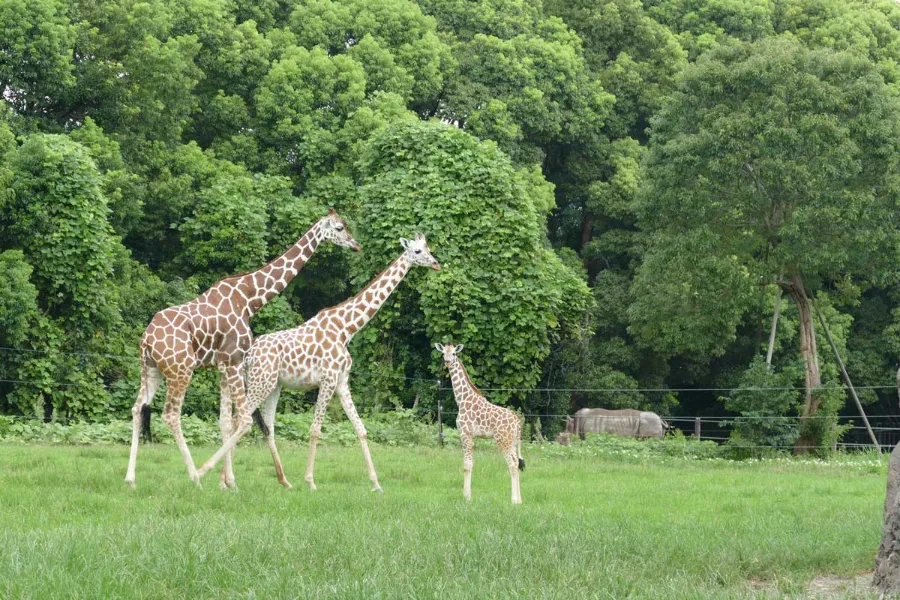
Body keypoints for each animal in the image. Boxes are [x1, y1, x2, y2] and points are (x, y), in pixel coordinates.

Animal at [124, 210, 362, 488]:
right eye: (340, 228)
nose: (356, 245)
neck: (250, 298)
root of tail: (146, 339)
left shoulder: (223, 365)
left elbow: (226, 421)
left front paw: (229, 483)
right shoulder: (235, 360)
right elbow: (244, 419)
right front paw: (227, 482)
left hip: (151, 370)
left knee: (137, 409)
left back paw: (130, 479)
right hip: (181, 370)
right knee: (171, 415)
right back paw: (195, 477)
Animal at [195, 232, 442, 490]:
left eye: (428, 248)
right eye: (417, 251)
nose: (436, 264)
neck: (346, 328)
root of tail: (247, 355)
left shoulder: (342, 382)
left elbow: (360, 429)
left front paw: (376, 484)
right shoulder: (328, 380)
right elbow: (315, 429)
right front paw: (310, 481)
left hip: (272, 385)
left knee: (264, 425)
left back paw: (278, 480)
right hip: (259, 382)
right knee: (238, 420)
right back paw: (222, 479)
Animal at [434, 344, 524, 504]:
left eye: (454, 353)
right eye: (443, 353)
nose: (448, 361)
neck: (462, 399)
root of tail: (518, 421)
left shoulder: (465, 433)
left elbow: (467, 465)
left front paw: (467, 497)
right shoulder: (470, 436)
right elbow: (470, 463)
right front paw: (467, 495)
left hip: (503, 440)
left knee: (512, 464)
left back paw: (513, 501)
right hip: (512, 442)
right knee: (517, 463)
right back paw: (519, 500)